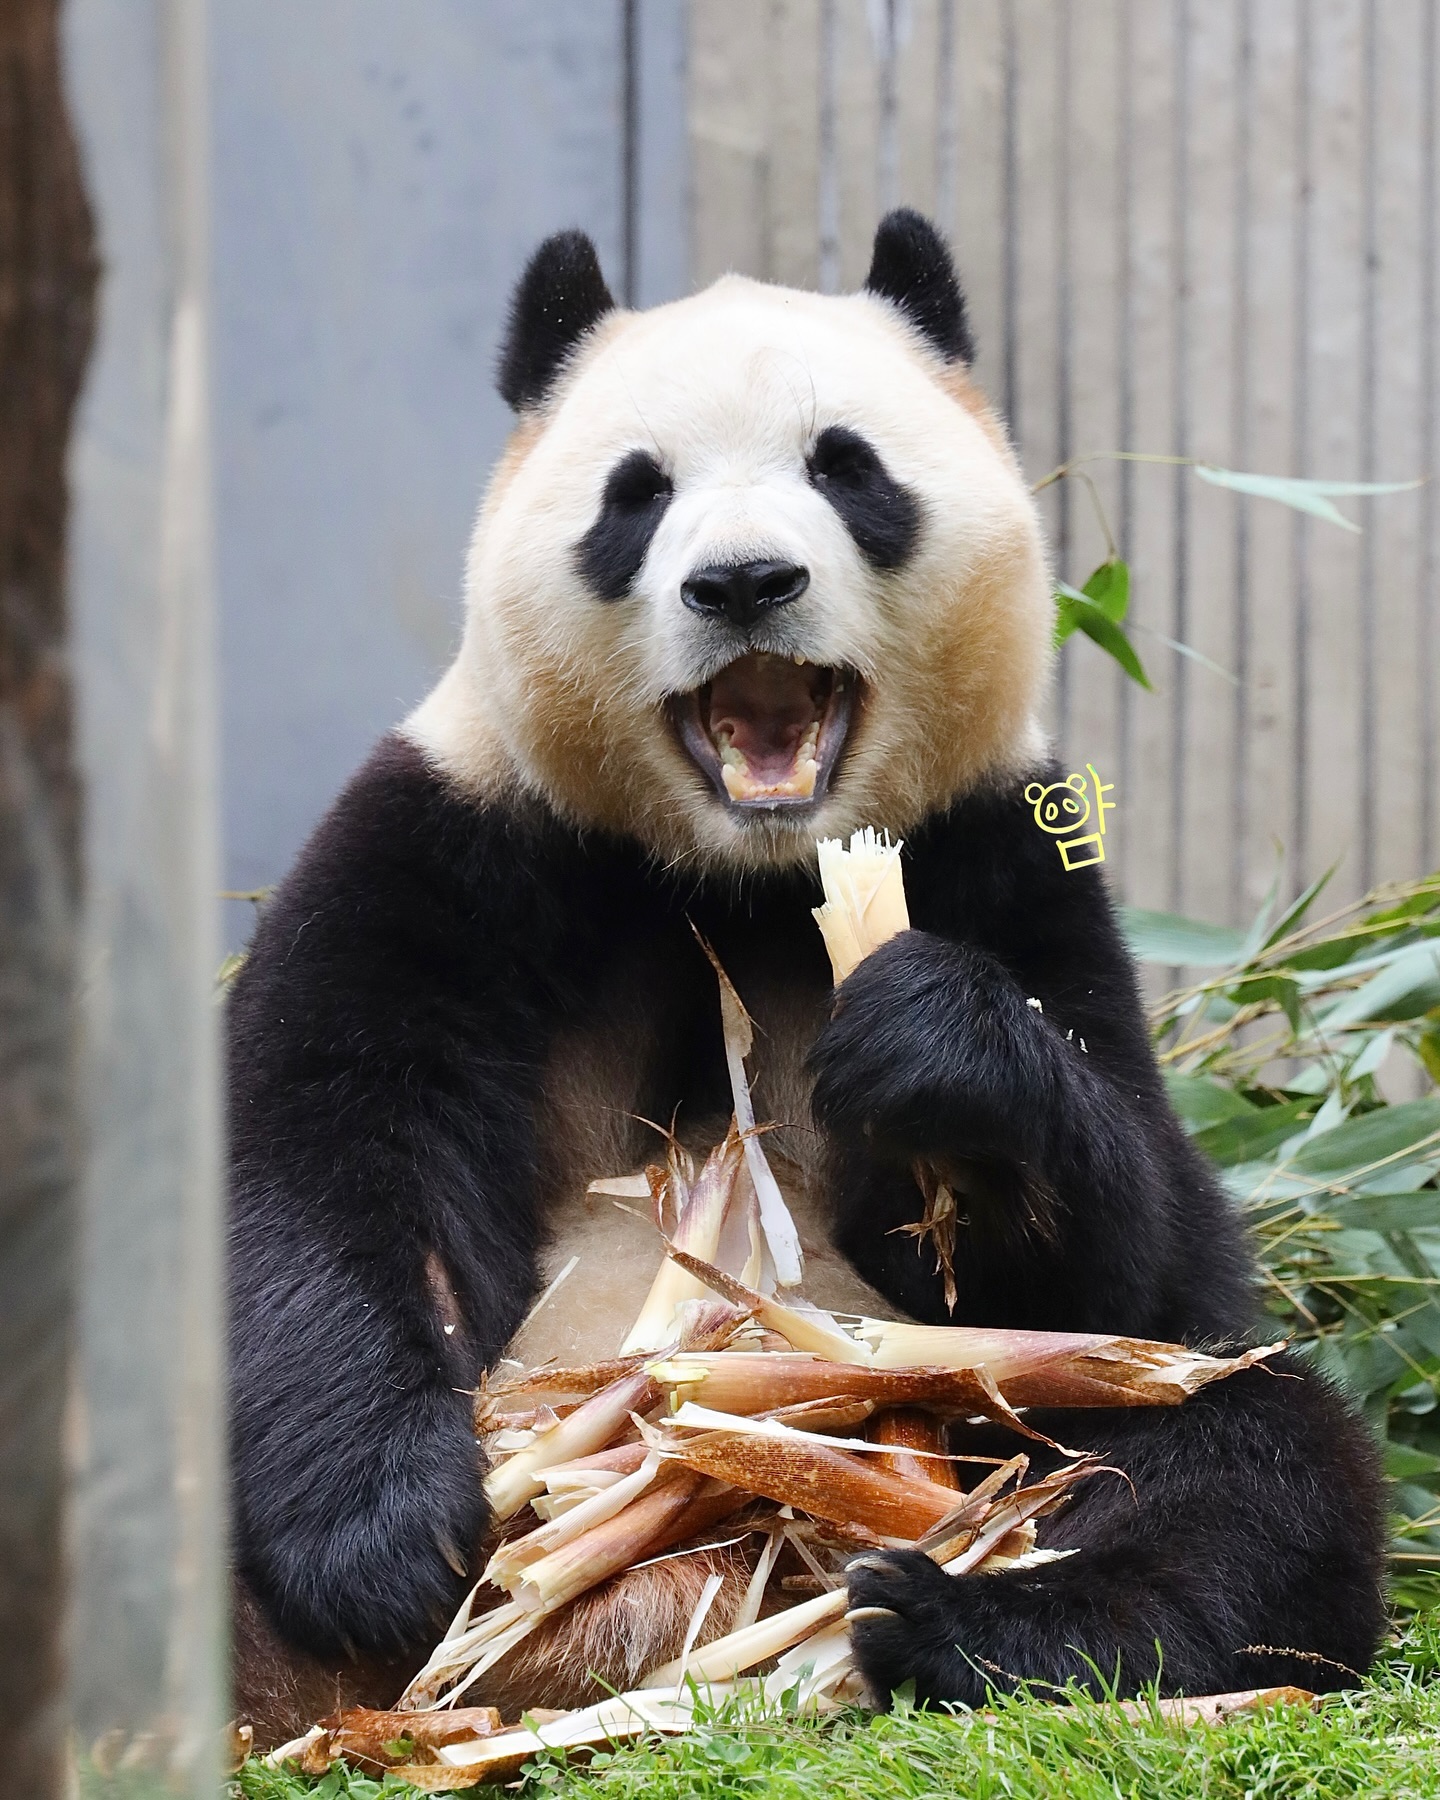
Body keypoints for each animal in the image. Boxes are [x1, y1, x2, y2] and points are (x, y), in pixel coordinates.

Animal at [230, 214, 1389, 1742]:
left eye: (846, 470)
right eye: (636, 495)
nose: (742, 583)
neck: (740, 873)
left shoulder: (1007, 855)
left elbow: (1126, 1257)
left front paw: (930, 1045)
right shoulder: (461, 842)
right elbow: (326, 1153)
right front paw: (388, 1532)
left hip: (997, 1430)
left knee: (1243, 1458)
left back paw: (957, 1623)